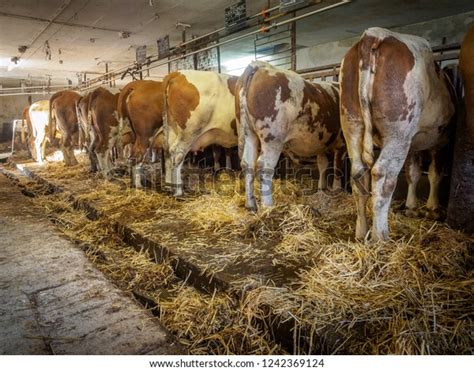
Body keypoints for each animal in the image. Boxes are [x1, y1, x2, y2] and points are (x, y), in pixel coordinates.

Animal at [163, 70, 239, 198]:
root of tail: (178, 73)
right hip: (189, 132)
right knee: (177, 154)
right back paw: (178, 191)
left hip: (172, 128)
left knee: (168, 154)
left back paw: (169, 186)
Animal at [237, 62, 344, 211]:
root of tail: (260, 65)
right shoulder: (342, 142)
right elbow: (337, 166)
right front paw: (336, 190)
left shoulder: (321, 142)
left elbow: (323, 164)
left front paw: (321, 189)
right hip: (273, 137)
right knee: (264, 167)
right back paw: (269, 206)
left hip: (249, 133)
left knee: (248, 165)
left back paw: (251, 205)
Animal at [338, 26, 454, 241]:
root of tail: (373, 34)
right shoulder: (441, 141)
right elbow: (434, 174)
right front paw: (432, 208)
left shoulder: (414, 145)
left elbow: (413, 173)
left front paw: (411, 207)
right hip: (398, 132)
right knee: (382, 175)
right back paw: (381, 236)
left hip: (351, 123)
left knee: (358, 174)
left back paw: (361, 232)